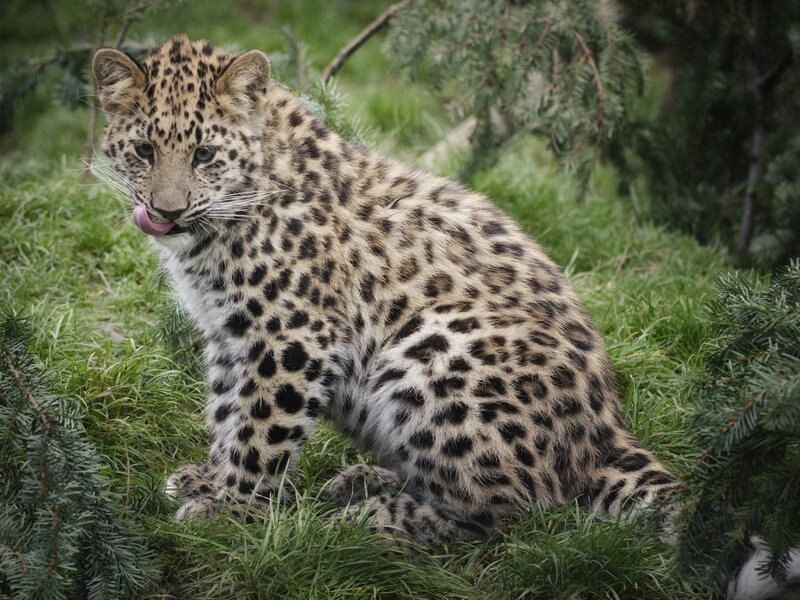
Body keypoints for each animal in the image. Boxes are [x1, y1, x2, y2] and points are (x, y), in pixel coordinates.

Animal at [92, 36, 798, 599]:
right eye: (145, 150)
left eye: (205, 155)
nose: (167, 211)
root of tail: (603, 435)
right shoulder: (229, 330)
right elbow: (226, 410)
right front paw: (208, 480)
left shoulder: (292, 332)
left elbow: (261, 428)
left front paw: (230, 512)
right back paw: (362, 481)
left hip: (436, 348)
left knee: (516, 512)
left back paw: (369, 520)